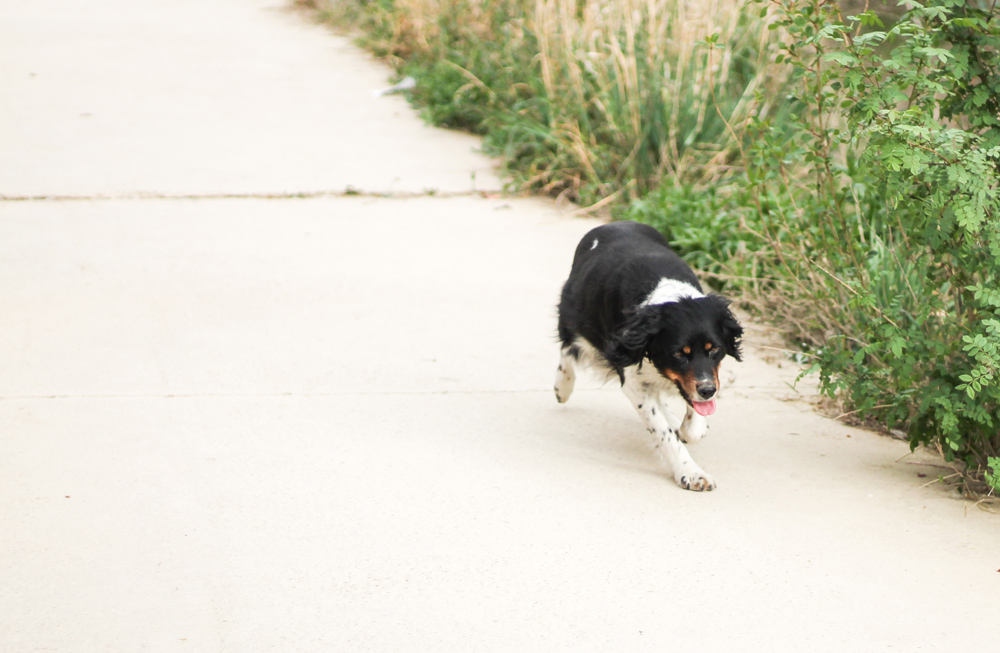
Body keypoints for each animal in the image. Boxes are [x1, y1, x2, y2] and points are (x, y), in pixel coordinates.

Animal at [556, 222, 744, 492]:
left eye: (714, 349)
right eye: (679, 354)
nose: (709, 391)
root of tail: (611, 223)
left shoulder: (703, 379)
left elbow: (694, 424)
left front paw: (686, 427)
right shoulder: (632, 378)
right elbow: (663, 431)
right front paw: (691, 473)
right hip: (577, 316)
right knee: (567, 349)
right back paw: (562, 387)